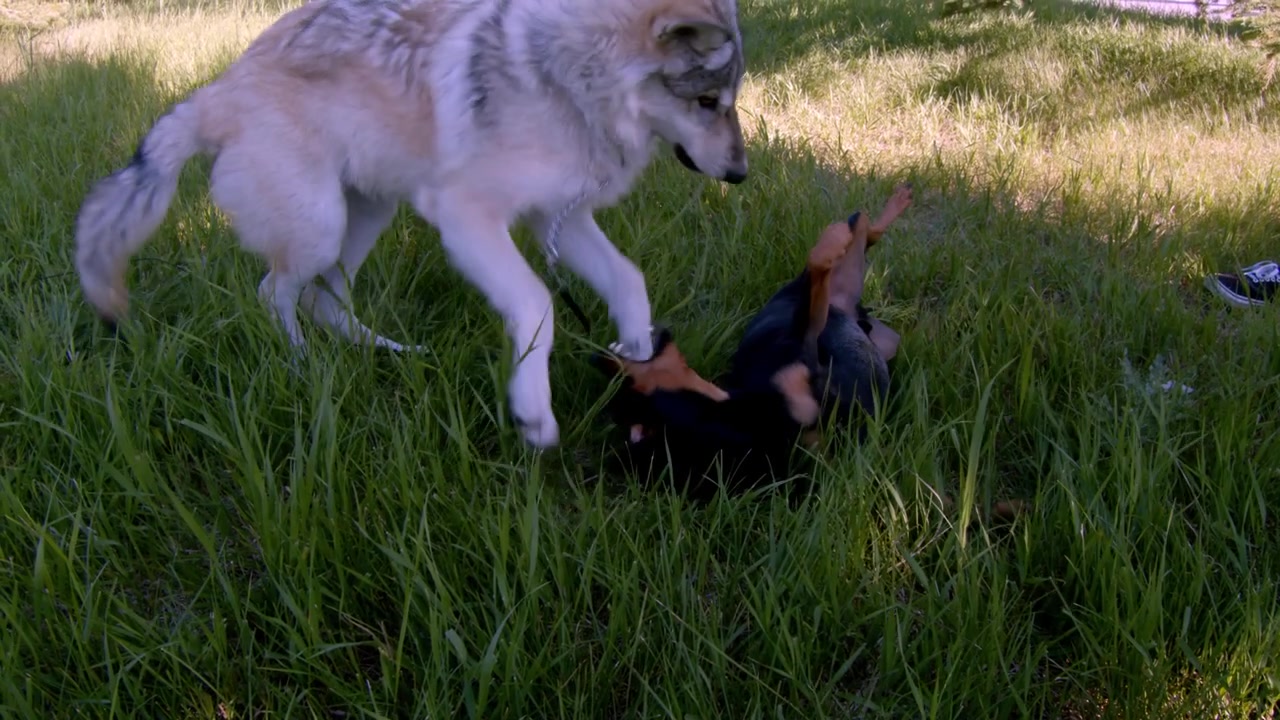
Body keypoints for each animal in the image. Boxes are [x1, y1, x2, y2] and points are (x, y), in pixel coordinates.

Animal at [73, 0, 749, 448]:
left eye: (729, 101)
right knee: (275, 293)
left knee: (325, 301)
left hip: (368, 214)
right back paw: (302, 366)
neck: (570, 78)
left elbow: (629, 280)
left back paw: (391, 353)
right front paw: (533, 410)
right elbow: (538, 304)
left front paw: (640, 360)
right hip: (321, 226)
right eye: (707, 102)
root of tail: (216, 91)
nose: (741, 175)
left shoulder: (561, 217)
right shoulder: (468, 217)